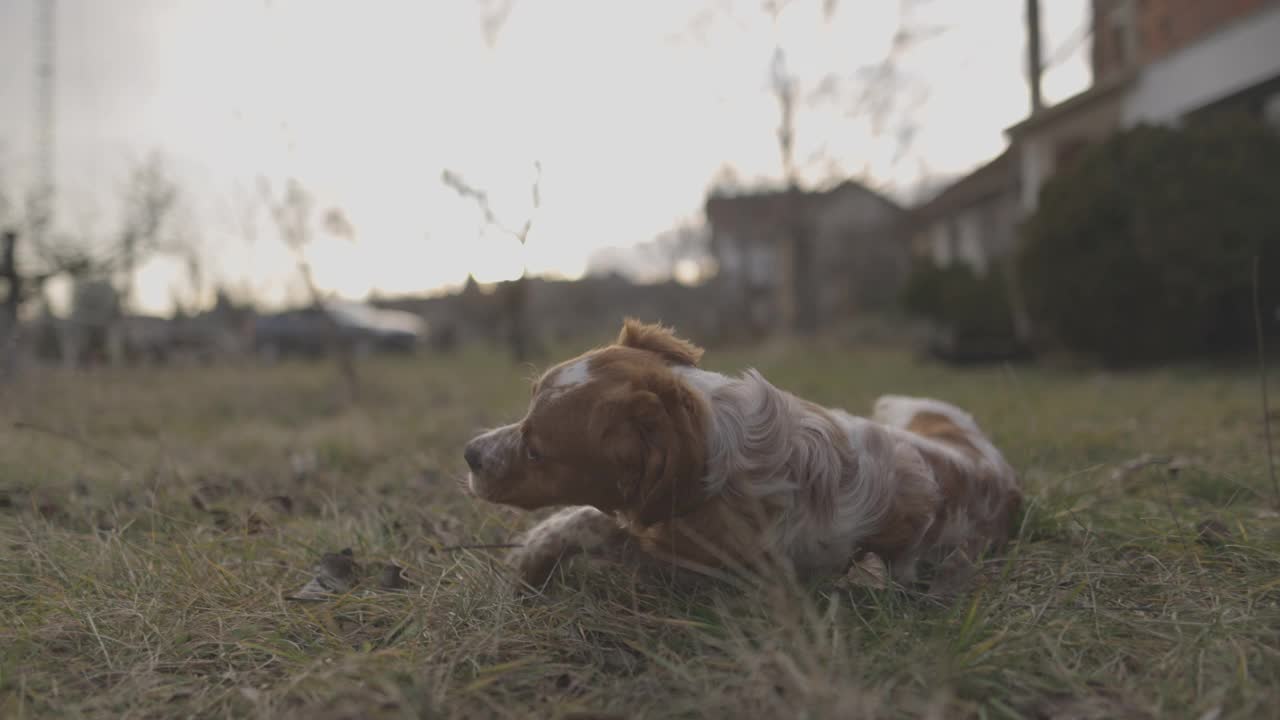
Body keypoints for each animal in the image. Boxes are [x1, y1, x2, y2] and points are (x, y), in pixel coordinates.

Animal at [460, 319, 1018, 589]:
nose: (469, 453)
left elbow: (596, 523)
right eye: (528, 402)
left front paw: (533, 557)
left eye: (537, 450)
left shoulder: (724, 576)